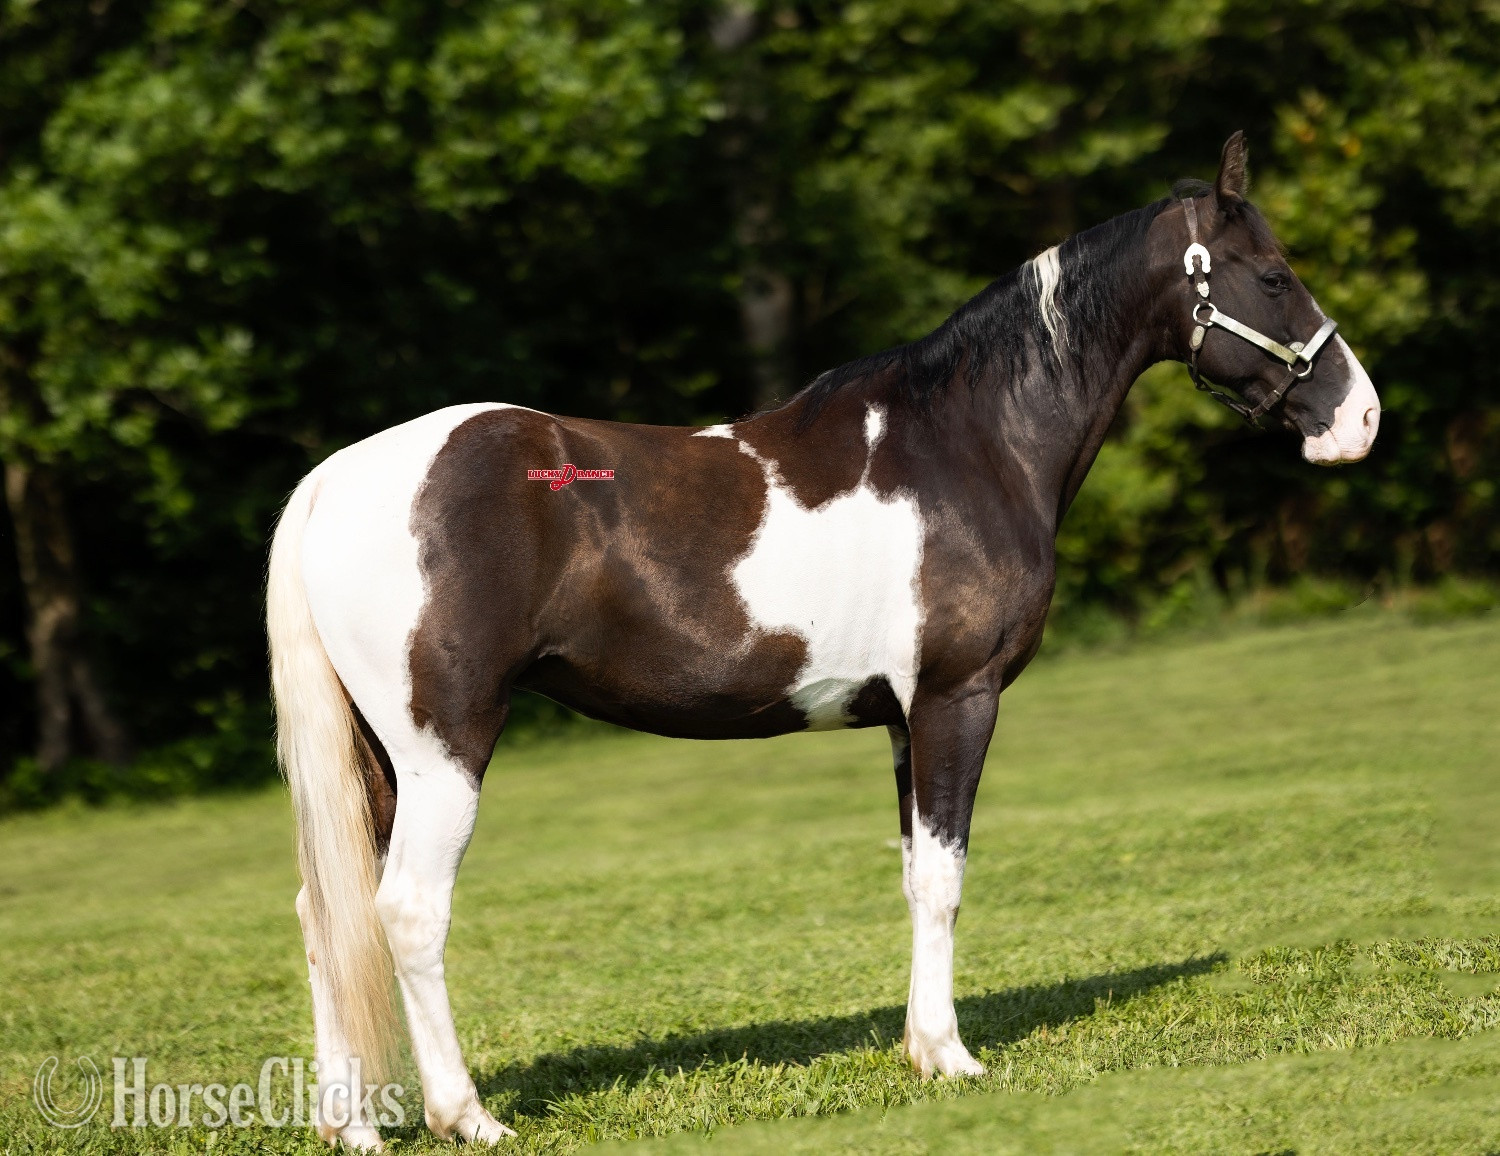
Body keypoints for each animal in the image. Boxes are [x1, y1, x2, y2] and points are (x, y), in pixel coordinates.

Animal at [266, 132, 1380, 1147]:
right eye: (1274, 274)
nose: (1360, 417)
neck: (969, 443)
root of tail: (331, 480)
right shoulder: (958, 699)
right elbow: (945, 878)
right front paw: (953, 1057)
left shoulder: (900, 719)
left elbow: (915, 873)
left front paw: (924, 1046)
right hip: (445, 747)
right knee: (408, 910)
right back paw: (467, 1115)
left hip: (375, 759)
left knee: (328, 912)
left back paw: (351, 1124)